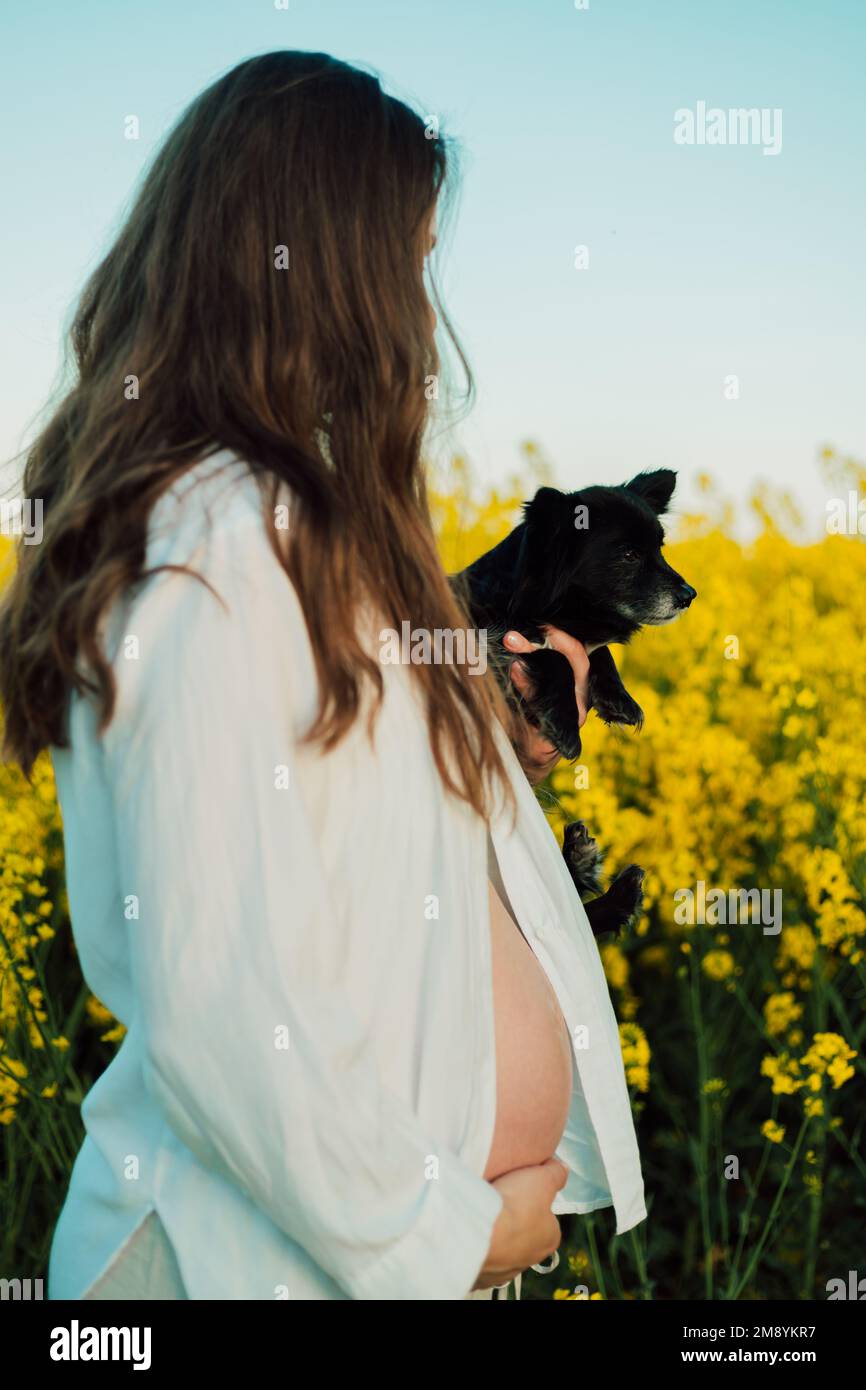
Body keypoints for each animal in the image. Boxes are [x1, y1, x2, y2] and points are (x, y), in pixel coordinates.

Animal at [453, 472, 697, 939]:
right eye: (628, 555)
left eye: (660, 548)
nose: (690, 594)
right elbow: (554, 657)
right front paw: (566, 722)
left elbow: (597, 654)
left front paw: (619, 698)